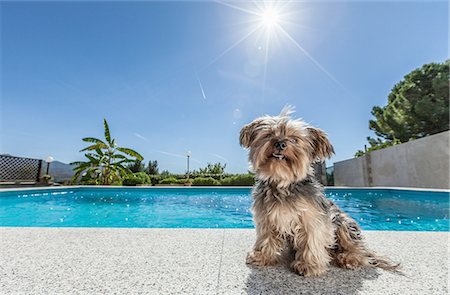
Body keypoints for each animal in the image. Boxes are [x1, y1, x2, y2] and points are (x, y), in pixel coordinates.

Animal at [239, 107, 398, 278]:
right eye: (268, 135)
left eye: (294, 139)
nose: (280, 143)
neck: (283, 183)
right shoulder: (266, 218)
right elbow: (266, 238)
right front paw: (262, 256)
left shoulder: (312, 218)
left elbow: (312, 240)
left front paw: (308, 265)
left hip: (342, 221)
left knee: (360, 251)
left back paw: (349, 258)